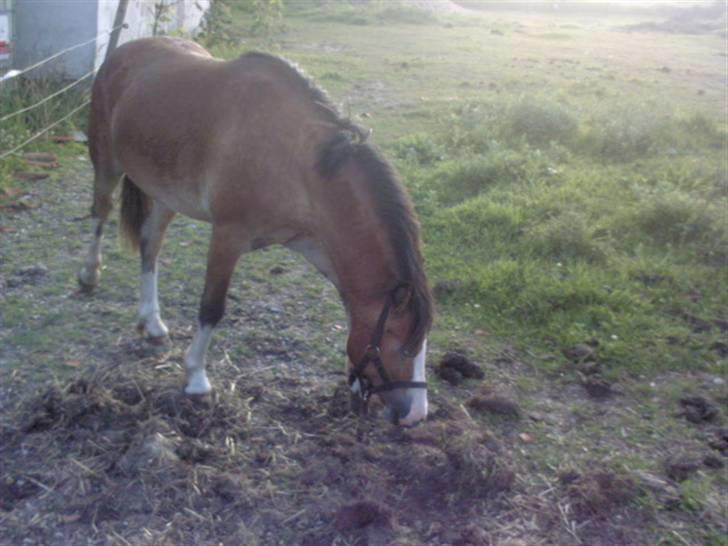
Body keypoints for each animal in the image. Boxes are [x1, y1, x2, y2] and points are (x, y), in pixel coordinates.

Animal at [79, 37, 432, 424]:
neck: (298, 163)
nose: (417, 414)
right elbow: (211, 308)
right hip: (107, 163)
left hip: (165, 193)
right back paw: (89, 276)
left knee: (150, 243)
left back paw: (152, 324)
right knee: (99, 214)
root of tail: (123, 50)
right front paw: (196, 379)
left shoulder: (316, 245)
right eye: (401, 343)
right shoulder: (228, 236)